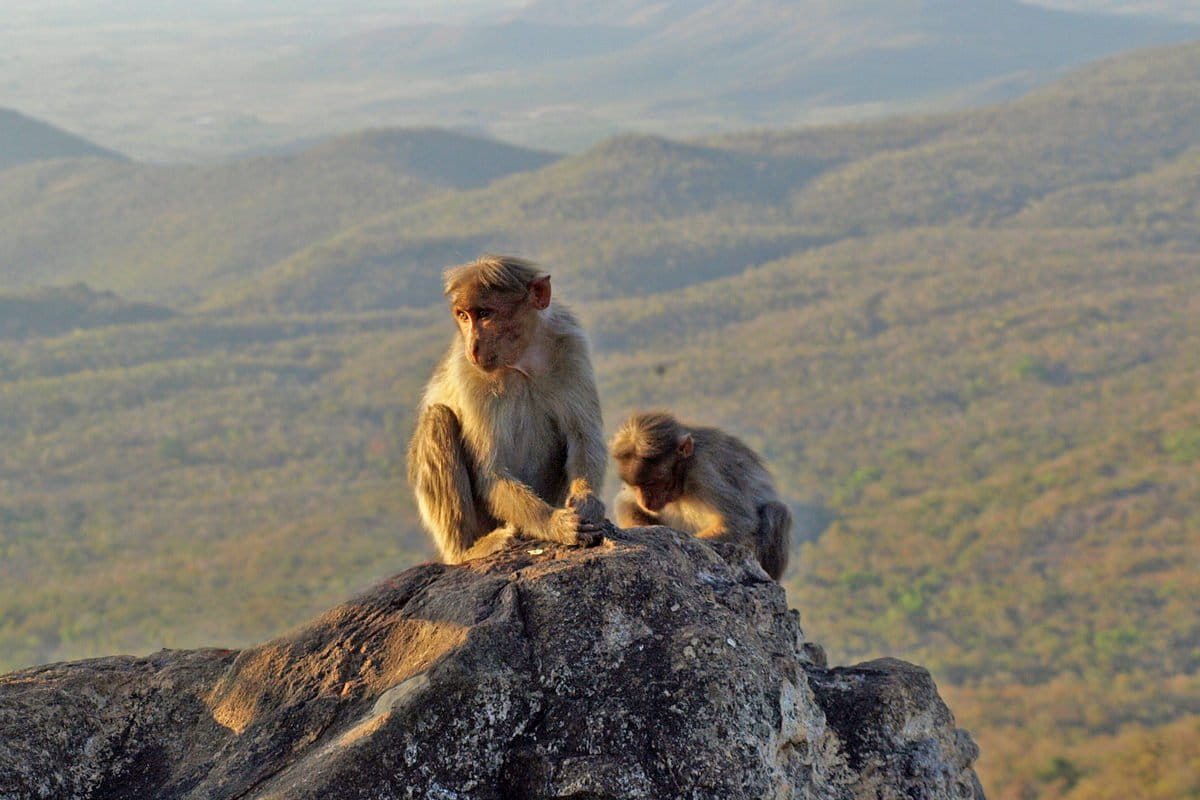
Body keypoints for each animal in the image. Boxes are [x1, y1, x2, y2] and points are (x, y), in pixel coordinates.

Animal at [407, 255, 608, 564]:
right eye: (463, 316)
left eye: (484, 313)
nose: (473, 346)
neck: (521, 361)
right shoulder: (469, 373)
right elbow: (491, 472)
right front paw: (556, 524)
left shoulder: (570, 346)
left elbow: (584, 438)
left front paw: (587, 503)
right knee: (438, 419)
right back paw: (467, 550)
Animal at [610, 411, 791, 580]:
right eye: (636, 486)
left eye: (651, 483)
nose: (645, 502)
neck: (683, 480)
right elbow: (625, 503)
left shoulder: (703, 470)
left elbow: (738, 522)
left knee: (776, 511)